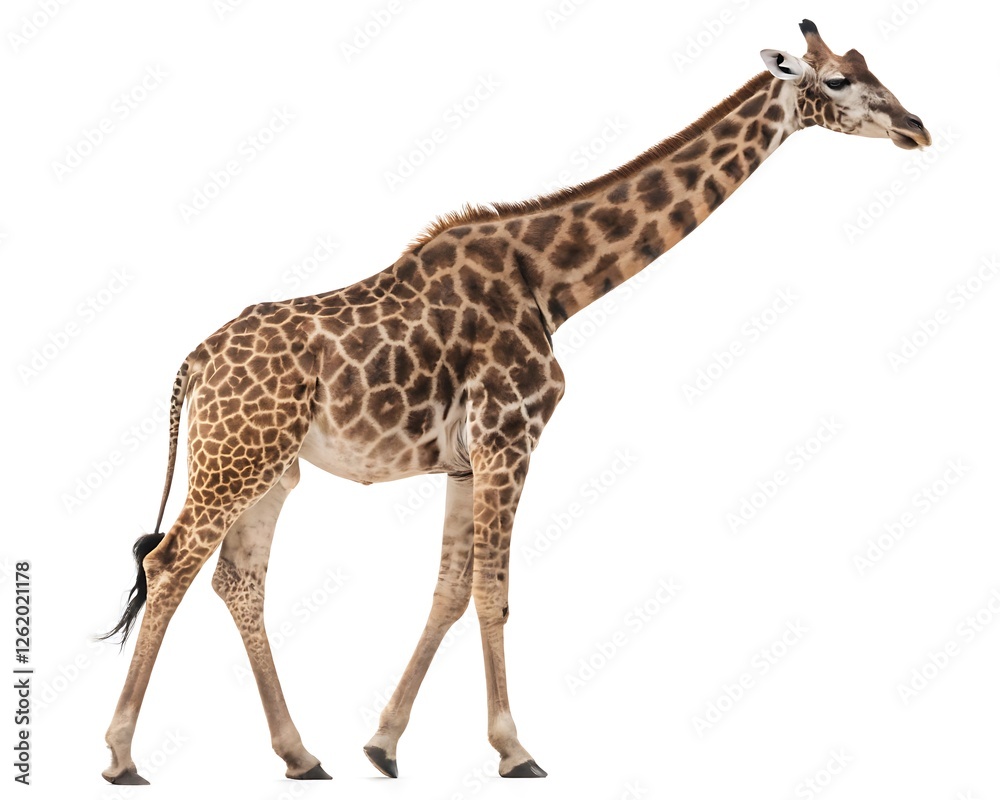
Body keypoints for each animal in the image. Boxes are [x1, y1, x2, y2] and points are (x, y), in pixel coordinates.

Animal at [99, 20, 930, 784]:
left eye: (869, 67)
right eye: (841, 80)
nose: (917, 128)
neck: (551, 284)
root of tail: (194, 363)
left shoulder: (468, 462)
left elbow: (450, 592)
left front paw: (384, 745)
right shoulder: (511, 436)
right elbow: (493, 594)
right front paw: (515, 749)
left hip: (271, 466)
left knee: (237, 580)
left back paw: (301, 756)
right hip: (237, 457)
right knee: (170, 563)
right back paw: (121, 756)